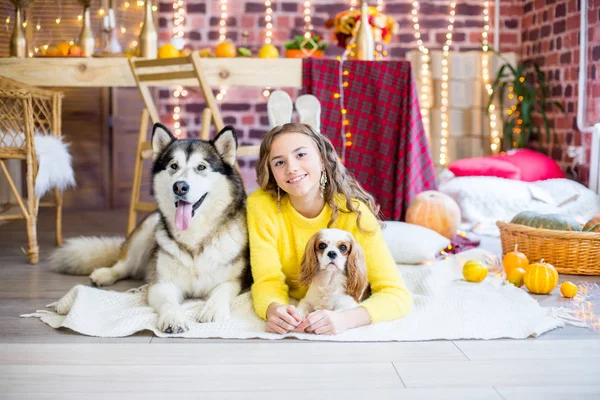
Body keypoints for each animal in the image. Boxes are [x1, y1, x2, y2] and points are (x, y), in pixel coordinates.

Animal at [48, 123, 251, 332]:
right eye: (174, 166)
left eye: (201, 167)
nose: (180, 186)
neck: (194, 239)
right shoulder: (161, 284)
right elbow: (168, 301)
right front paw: (172, 318)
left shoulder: (234, 280)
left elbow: (221, 290)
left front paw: (212, 309)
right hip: (146, 229)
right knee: (124, 265)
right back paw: (105, 274)